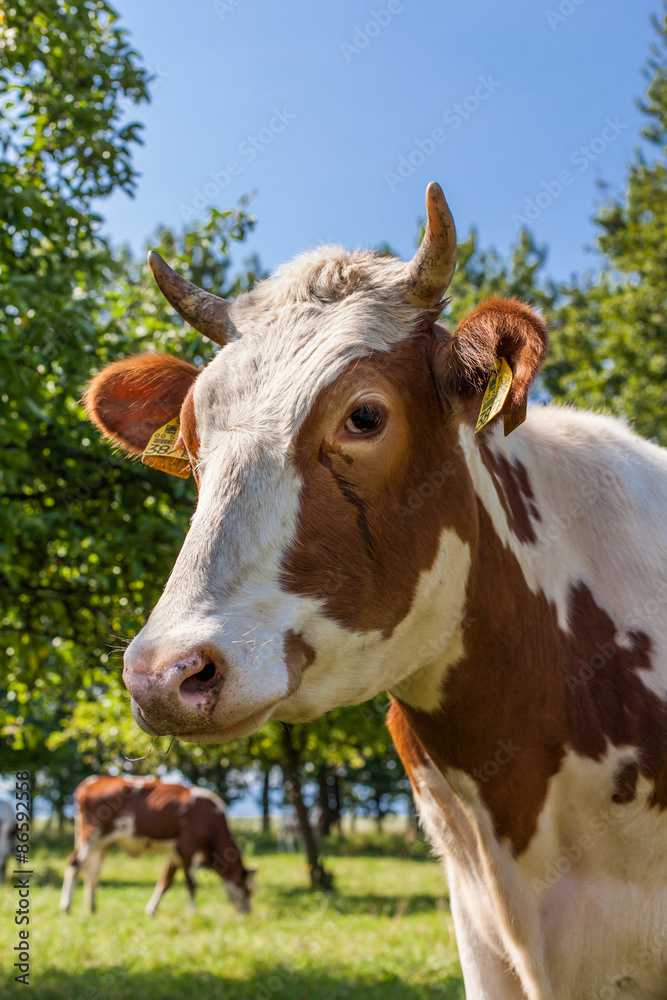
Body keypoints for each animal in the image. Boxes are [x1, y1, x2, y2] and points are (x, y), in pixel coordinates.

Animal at [60, 776, 254, 916]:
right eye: (248, 891)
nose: (247, 914)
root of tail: (93, 781)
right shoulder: (188, 849)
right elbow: (191, 884)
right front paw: (194, 913)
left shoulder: (175, 854)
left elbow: (165, 881)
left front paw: (151, 910)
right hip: (91, 835)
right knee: (75, 864)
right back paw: (66, 906)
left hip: (102, 843)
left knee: (92, 872)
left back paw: (92, 908)